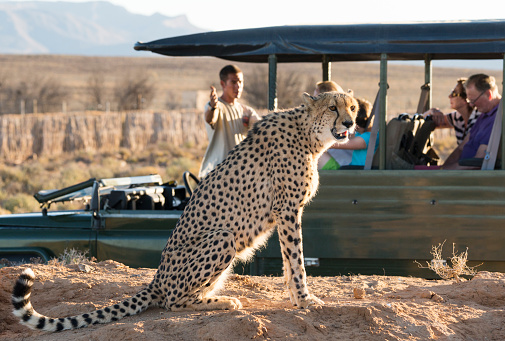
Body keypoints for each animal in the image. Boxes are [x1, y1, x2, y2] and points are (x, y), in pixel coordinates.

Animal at [12, 91, 358, 330]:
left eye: (352, 107)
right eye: (332, 107)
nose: (350, 123)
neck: (308, 134)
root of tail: (156, 278)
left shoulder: (287, 212)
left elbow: (289, 262)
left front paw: (296, 297)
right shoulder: (287, 209)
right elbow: (296, 260)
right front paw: (305, 299)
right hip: (222, 237)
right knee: (172, 302)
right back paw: (223, 301)